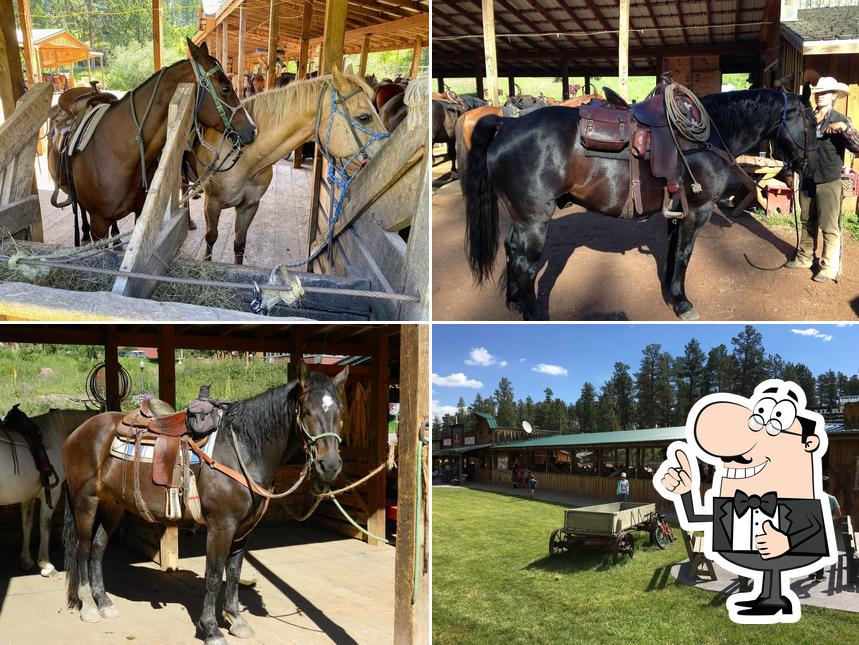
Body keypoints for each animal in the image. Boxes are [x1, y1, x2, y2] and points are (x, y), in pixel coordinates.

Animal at [0, 406, 94, 576]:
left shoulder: (27, 497)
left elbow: (27, 524)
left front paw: (26, 560)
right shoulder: (51, 494)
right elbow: (45, 525)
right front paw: (45, 564)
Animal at [62, 362, 350, 644]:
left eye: (340, 413)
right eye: (307, 411)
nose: (330, 466)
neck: (241, 449)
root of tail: (78, 432)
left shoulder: (244, 530)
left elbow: (233, 573)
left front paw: (236, 620)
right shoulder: (221, 526)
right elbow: (213, 575)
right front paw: (211, 629)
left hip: (113, 505)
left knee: (98, 548)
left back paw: (104, 603)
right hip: (86, 503)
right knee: (82, 550)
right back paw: (89, 607)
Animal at [193, 66, 388, 264]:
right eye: (364, 118)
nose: (384, 152)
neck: (243, 156)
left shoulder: (249, 206)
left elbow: (239, 244)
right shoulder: (212, 204)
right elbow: (211, 238)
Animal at [466, 84, 816, 320]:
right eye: (811, 122)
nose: (808, 164)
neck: (709, 138)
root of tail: (508, 124)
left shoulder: (678, 211)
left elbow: (674, 252)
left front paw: (670, 292)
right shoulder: (697, 210)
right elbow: (685, 254)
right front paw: (683, 302)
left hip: (520, 217)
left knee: (511, 250)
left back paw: (513, 300)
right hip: (534, 220)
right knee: (525, 265)